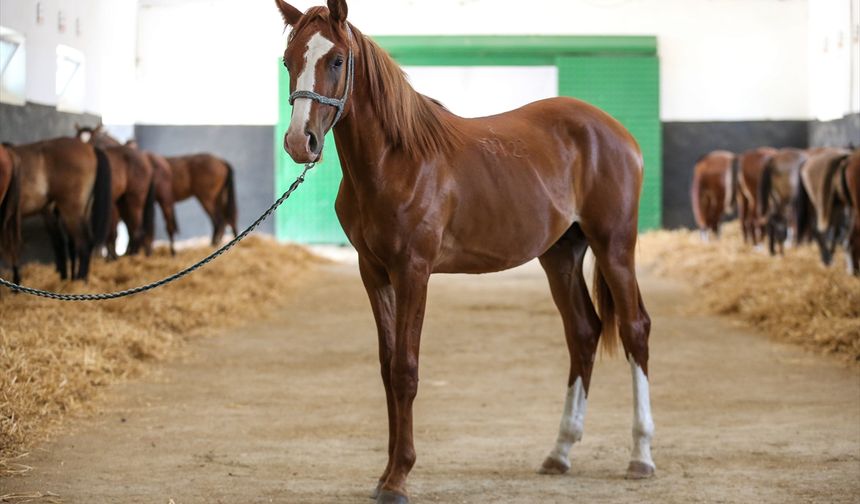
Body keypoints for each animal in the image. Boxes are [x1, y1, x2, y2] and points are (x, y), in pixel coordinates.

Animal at [74, 124, 155, 258]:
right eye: (76, 138)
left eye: (93, 140)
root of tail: (145, 158)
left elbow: (110, 231)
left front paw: (110, 257)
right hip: (123, 203)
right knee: (131, 230)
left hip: (134, 201)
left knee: (136, 230)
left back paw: (132, 255)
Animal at [278, 1, 656, 502]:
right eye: (288, 61)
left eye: (337, 60)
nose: (299, 142)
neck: (397, 160)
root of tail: (617, 132)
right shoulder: (373, 272)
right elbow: (386, 367)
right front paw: (385, 473)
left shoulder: (413, 271)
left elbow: (405, 370)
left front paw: (398, 476)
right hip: (560, 254)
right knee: (583, 332)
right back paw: (560, 452)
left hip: (614, 246)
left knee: (635, 330)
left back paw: (641, 456)